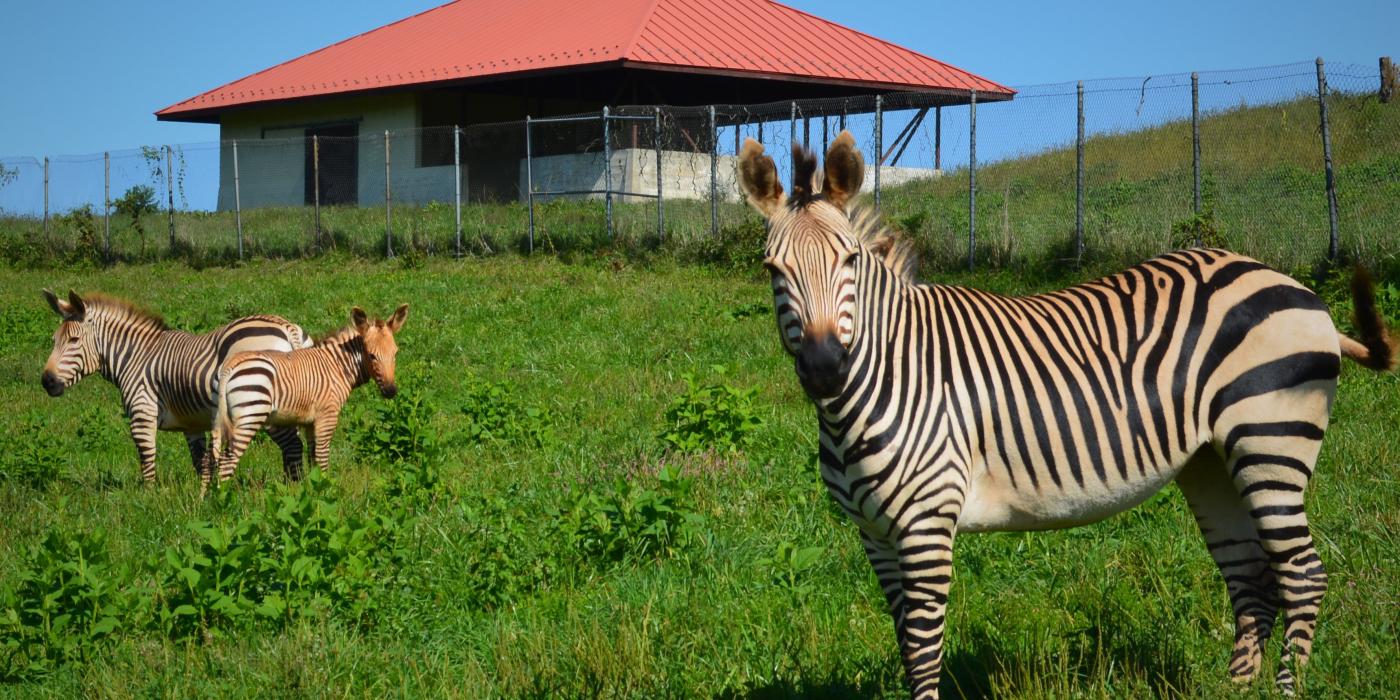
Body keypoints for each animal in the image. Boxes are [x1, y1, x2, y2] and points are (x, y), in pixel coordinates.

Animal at [40, 288, 312, 481]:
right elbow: (200, 462)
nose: (47, 382)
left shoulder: (142, 413)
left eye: (73, 340)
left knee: (292, 446)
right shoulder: (191, 423)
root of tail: (287, 327)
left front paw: (150, 502)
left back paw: (291, 489)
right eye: (53, 340)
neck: (134, 357)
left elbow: (147, 461)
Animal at [204, 305, 408, 492]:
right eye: (371, 355)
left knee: (212, 457)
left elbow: (313, 457)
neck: (336, 366)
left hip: (219, 415)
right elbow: (322, 456)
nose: (391, 391)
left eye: (396, 353)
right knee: (227, 460)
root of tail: (229, 366)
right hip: (249, 416)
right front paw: (326, 491)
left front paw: (313, 488)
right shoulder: (327, 417)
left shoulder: (311, 422)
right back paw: (224, 500)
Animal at [739, 132, 1394, 700]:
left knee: (1302, 574)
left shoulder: (926, 523)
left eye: (849, 261)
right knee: (1250, 576)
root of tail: (1295, 286)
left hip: (1270, 442)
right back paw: (1236, 690)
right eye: (773, 270)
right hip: (1212, 462)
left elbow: (923, 649)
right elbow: (905, 642)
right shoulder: (874, 534)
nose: (825, 369)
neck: (884, 379)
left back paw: (1286, 689)